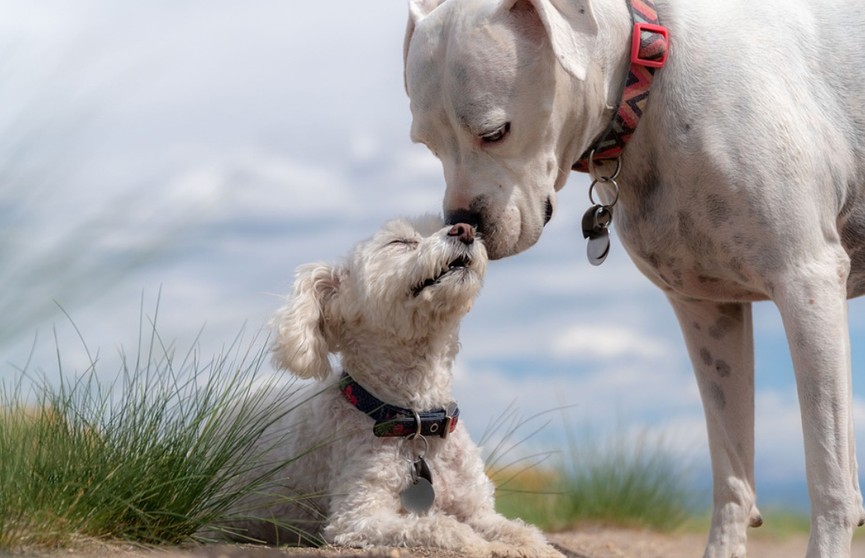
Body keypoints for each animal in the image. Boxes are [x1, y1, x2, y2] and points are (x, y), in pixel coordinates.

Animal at [233, 218, 560, 558]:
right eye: (400, 242)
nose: (465, 229)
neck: (415, 420)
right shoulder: (358, 516)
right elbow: (441, 527)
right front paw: (478, 543)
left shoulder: (478, 510)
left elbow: (524, 532)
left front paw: (528, 545)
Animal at [402, 1, 864, 558]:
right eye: (427, 145)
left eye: (495, 132)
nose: (461, 223)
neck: (647, 77)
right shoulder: (707, 312)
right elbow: (732, 473)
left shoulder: (807, 284)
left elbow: (829, 475)